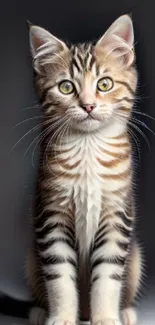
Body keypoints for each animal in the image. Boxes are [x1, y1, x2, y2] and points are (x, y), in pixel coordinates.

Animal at [27, 14, 143, 324]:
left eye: (104, 84)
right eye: (66, 87)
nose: (88, 106)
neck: (88, 145)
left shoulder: (117, 215)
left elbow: (108, 276)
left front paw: (105, 318)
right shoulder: (51, 215)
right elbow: (59, 277)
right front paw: (62, 317)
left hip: (136, 258)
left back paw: (125, 312)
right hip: (30, 258)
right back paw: (39, 312)